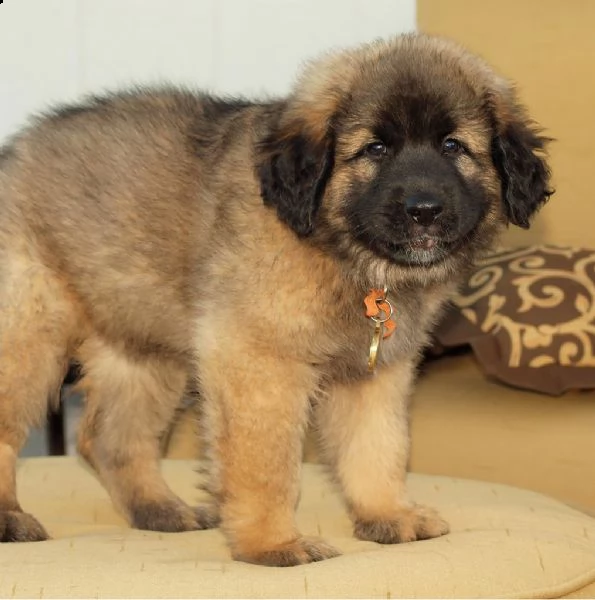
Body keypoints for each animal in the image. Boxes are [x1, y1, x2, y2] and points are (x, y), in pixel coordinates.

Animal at [0, 35, 552, 564]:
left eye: (454, 145)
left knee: (109, 439)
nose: (424, 210)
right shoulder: (257, 361)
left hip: (142, 342)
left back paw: (162, 511)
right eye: (374, 149)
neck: (344, 254)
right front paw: (273, 544)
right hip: (29, 333)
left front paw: (389, 515)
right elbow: (266, 464)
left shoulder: (374, 372)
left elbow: (379, 447)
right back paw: (11, 520)